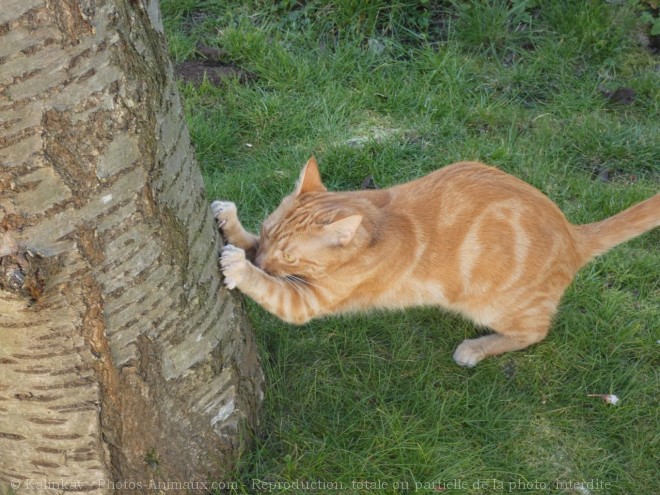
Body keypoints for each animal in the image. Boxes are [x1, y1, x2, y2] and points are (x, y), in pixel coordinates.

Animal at [213, 157, 660, 366]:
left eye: (290, 256)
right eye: (268, 231)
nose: (266, 258)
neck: (376, 221)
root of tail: (571, 233)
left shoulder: (306, 300)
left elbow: (269, 285)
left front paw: (242, 268)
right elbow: (249, 244)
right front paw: (230, 222)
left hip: (497, 306)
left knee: (535, 332)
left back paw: (477, 348)